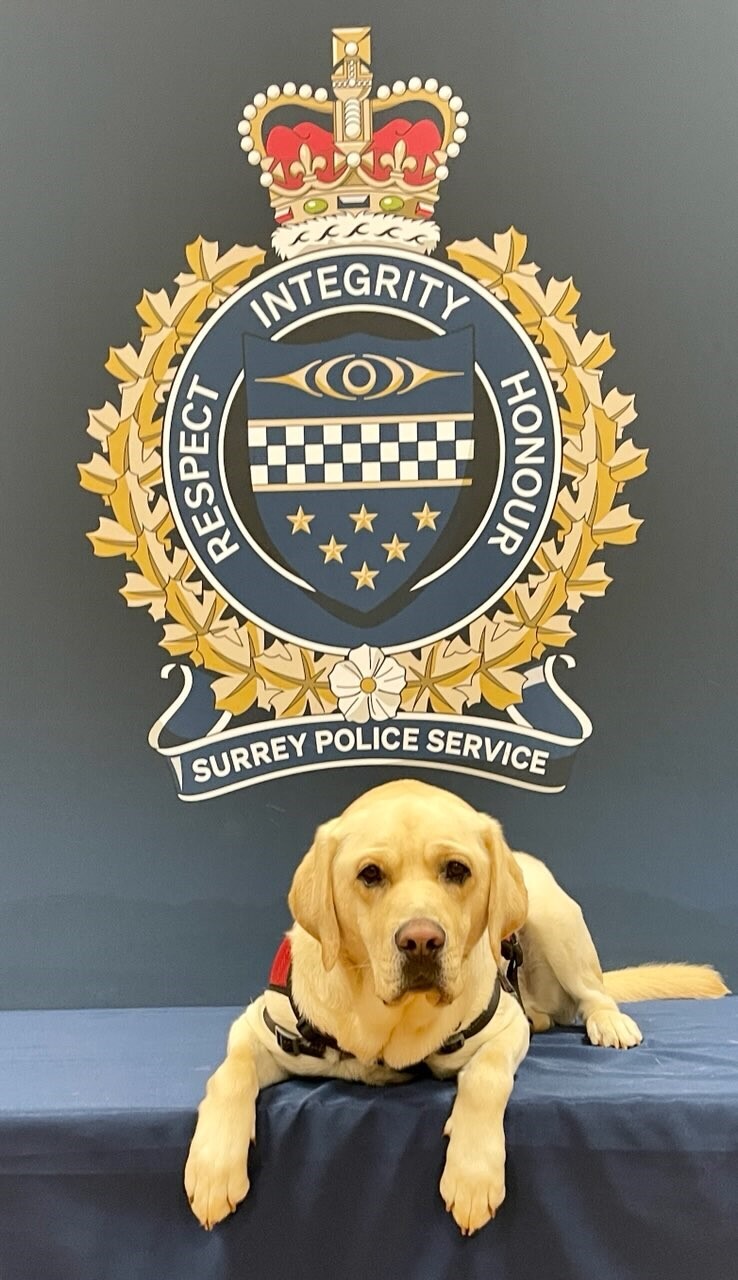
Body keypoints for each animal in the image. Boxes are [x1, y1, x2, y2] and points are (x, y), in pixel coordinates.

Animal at [184, 773, 726, 1233]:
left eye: (456, 870)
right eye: (370, 874)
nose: (421, 941)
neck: (390, 1021)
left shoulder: (504, 1029)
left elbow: (484, 1080)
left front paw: (472, 1176)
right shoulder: (257, 1028)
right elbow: (227, 1076)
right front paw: (212, 1169)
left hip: (557, 921)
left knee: (594, 992)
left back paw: (608, 1022)